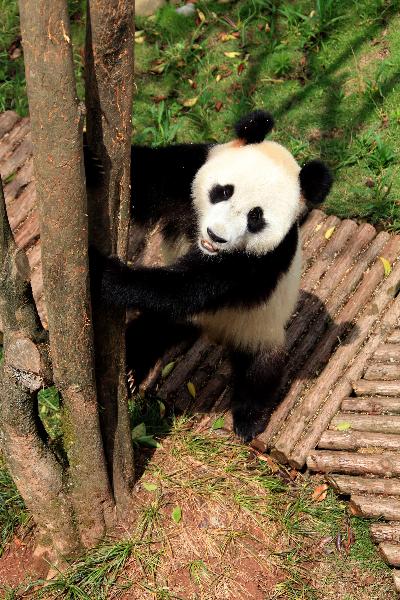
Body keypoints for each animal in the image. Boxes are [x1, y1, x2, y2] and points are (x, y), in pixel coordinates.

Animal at [92, 110, 332, 442]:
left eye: (255, 217)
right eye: (224, 191)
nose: (216, 236)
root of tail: (213, 332)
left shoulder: (263, 259)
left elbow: (190, 286)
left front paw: (104, 274)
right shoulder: (185, 175)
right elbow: (144, 175)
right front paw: (91, 159)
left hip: (259, 326)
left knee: (260, 369)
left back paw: (250, 419)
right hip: (181, 319)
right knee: (149, 330)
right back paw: (130, 371)